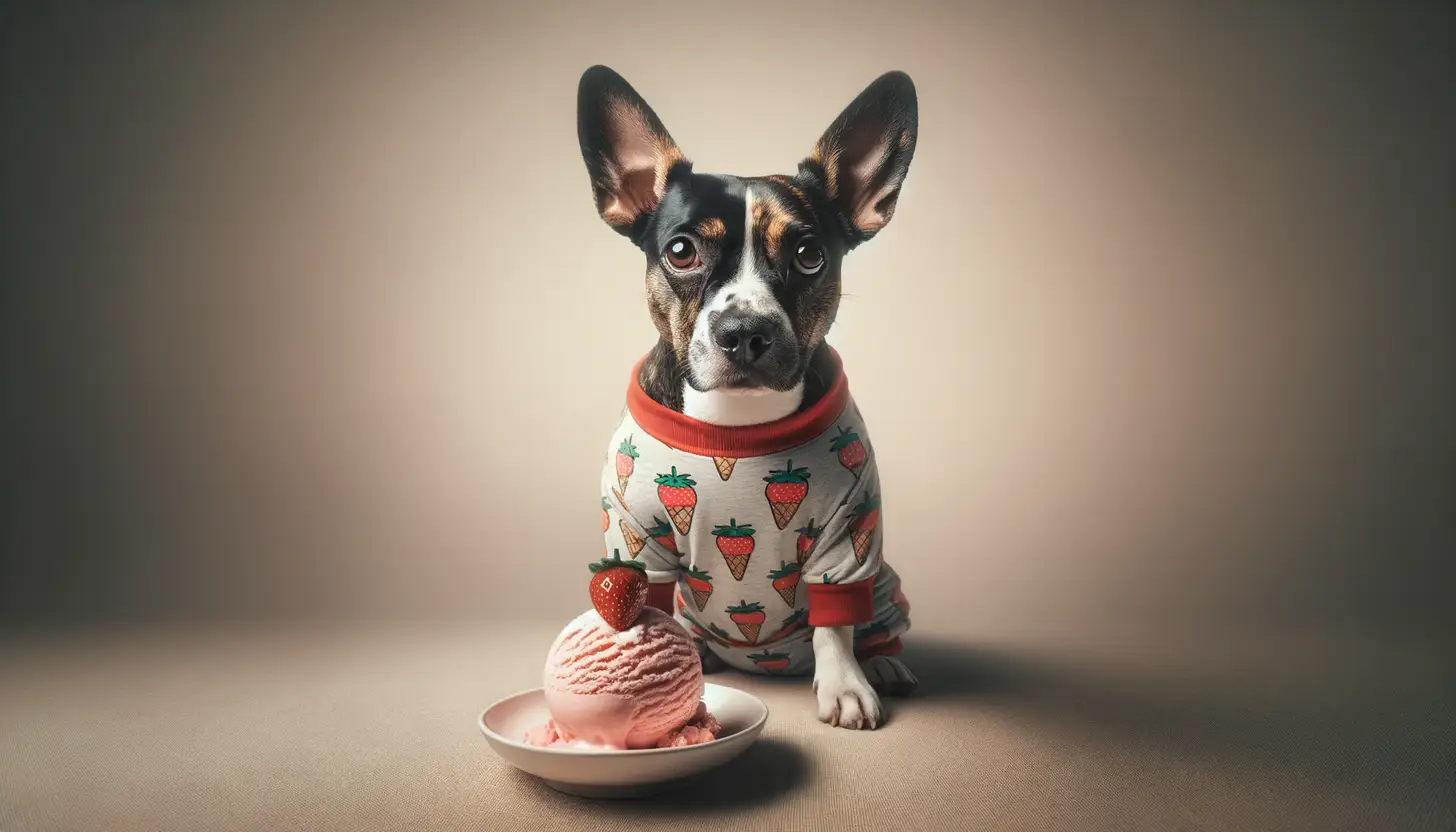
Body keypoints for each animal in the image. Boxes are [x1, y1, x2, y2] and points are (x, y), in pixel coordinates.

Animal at [576, 66, 908, 728]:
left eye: (809, 256)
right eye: (681, 251)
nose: (746, 330)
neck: (736, 427)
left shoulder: (849, 533)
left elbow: (837, 624)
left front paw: (845, 687)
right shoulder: (635, 538)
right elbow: (641, 601)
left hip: (881, 577)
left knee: (874, 619)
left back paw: (883, 660)